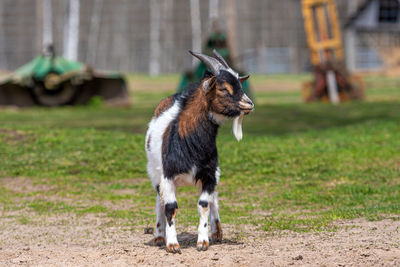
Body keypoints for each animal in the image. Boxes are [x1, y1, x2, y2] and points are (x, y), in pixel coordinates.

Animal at [145, 49, 255, 253]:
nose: (249, 104)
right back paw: (159, 236)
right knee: (159, 200)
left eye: (239, 83)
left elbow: (204, 204)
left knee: (214, 198)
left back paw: (217, 232)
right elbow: (170, 207)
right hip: (155, 174)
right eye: (223, 88)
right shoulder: (168, 175)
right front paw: (172, 244)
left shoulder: (209, 174)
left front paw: (203, 241)